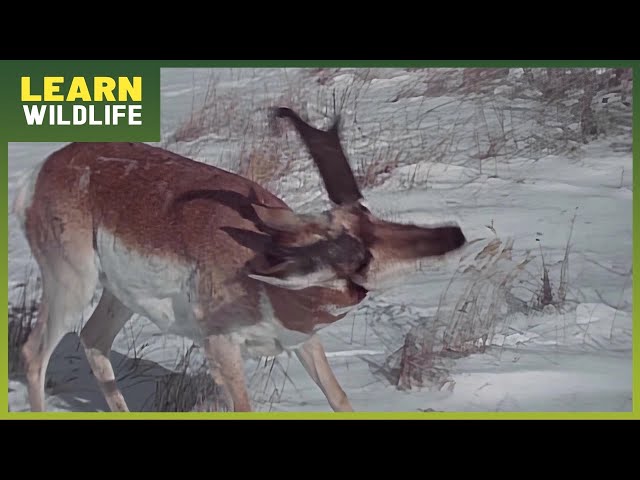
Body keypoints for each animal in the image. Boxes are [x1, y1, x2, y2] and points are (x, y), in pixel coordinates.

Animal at [12, 107, 466, 412]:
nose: (454, 235)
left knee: (93, 341)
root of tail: (45, 168)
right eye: (360, 258)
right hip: (72, 284)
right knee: (35, 354)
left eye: (372, 217)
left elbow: (338, 397)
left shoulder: (303, 342)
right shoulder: (223, 350)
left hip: (118, 297)